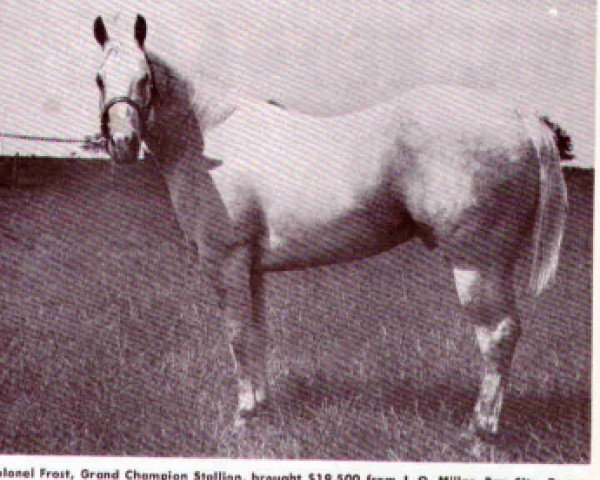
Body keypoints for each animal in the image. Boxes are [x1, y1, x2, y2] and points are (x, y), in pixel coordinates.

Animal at [91, 14, 568, 436]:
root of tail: (520, 116)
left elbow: (238, 335)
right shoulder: (250, 266)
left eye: (144, 78)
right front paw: (262, 409)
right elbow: (257, 333)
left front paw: (243, 418)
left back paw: (479, 431)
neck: (209, 135)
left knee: (498, 334)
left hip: (477, 262)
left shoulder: (224, 259)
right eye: (99, 79)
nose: (122, 144)